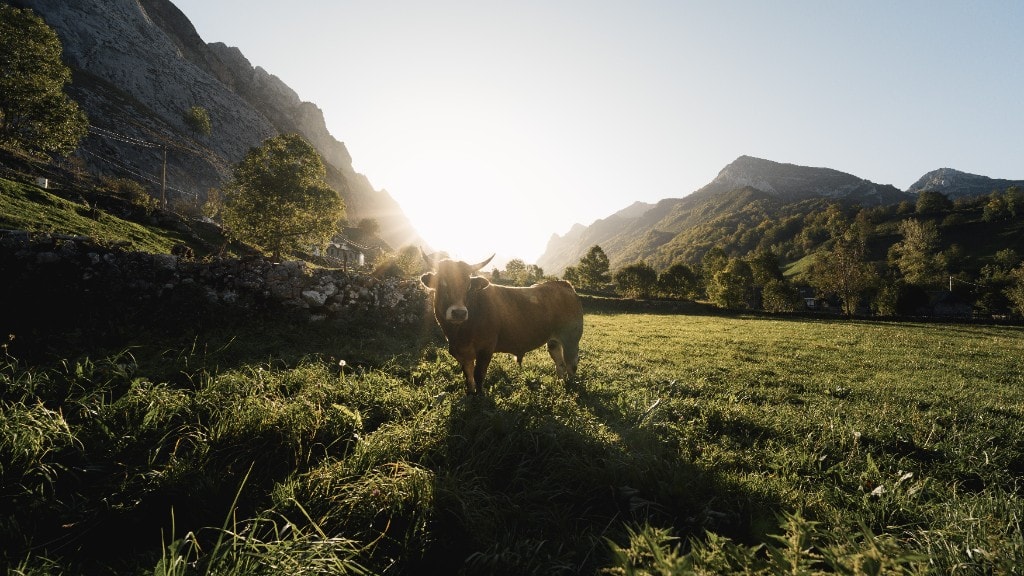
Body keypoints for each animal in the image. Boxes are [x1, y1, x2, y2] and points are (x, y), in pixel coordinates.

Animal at [420, 252, 584, 394]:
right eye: (441, 283)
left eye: (468, 286)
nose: (459, 313)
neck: (458, 333)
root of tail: (563, 285)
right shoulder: (462, 353)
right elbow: (468, 376)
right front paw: (470, 394)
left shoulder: (486, 349)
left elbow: (478, 376)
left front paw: (480, 398)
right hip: (553, 342)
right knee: (560, 363)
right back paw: (561, 383)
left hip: (571, 339)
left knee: (571, 365)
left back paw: (571, 388)